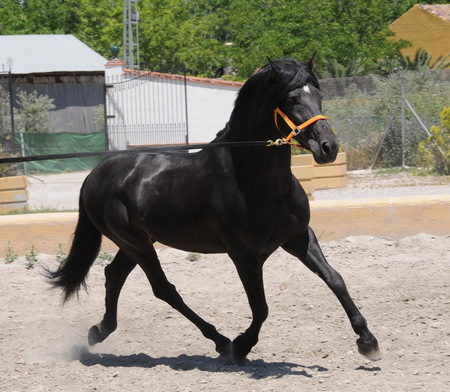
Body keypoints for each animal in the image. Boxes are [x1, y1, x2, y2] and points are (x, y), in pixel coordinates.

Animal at [48, 55, 380, 362]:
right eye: (292, 99)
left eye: (318, 94)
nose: (328, 148)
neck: (252, 179)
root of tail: (96, 174)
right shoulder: (244, 255)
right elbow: (261, 307)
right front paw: (241, 345)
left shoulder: (298, 239)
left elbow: (335, 279)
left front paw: (368, 341)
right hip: (136, 244)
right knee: (163, 289)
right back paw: (220, 341)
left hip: (138, 242)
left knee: (114, 275)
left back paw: (99, 331)